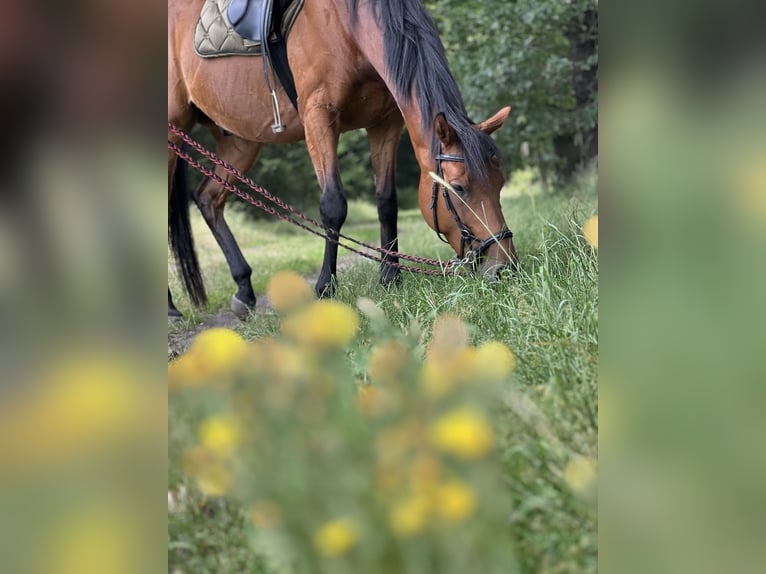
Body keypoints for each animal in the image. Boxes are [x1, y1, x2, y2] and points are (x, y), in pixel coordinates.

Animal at [166, 0, 520, 320]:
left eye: (500, 183)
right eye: (458, 188)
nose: (504, 267)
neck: (348, 27)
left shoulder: (385, 124)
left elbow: (386, 202)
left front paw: (391, 277)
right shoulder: (318, 116)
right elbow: (333, 205)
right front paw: (326, 287)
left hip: (241, 141)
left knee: (208, 198)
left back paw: (244, 290)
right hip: (174, 132)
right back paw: (171, 309)